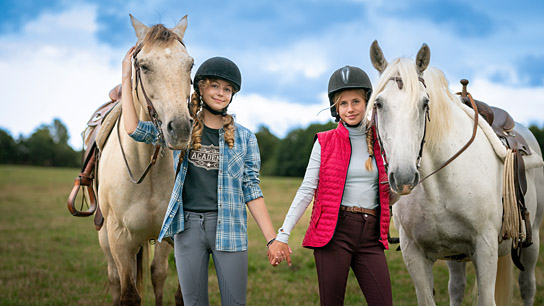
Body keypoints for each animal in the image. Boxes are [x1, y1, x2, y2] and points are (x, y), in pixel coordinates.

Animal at [97, 15, 193, 304]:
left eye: (190, 64)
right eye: (143, 65)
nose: (180, 128)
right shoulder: (119, 239)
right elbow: (129, 293)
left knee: (157, 274)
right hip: (106, 239)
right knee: (115, 279)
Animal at [366, 40, 544, 306]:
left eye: (425, 103)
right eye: (378, 103)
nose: (404, 178)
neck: (438, 188)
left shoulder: (486, 248)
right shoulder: (413, 253)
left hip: (531, 240)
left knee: (528, 287)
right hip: (454, 256)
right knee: (456, 288)